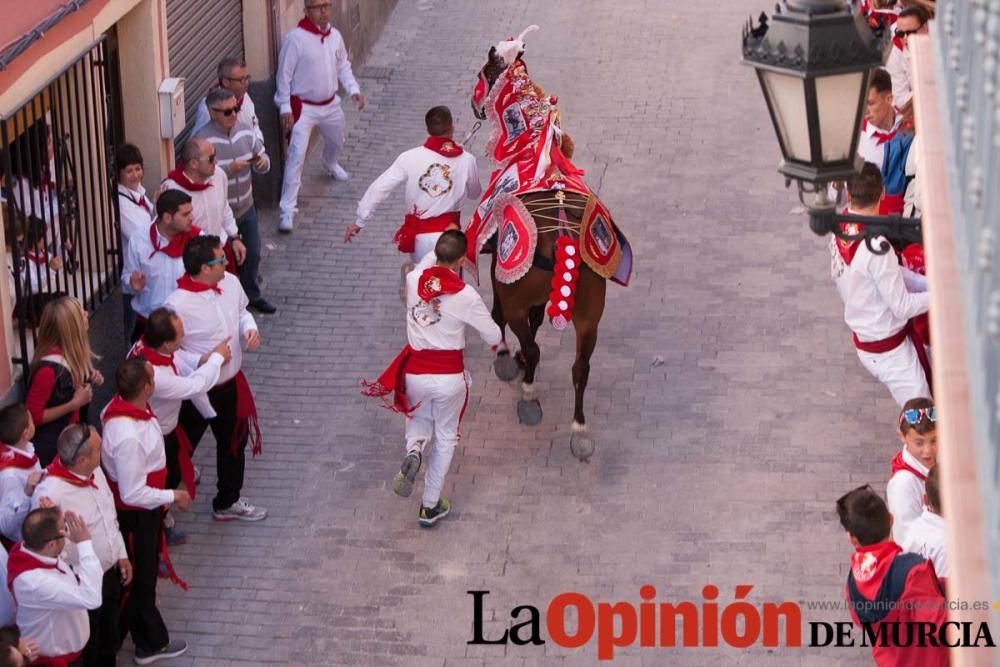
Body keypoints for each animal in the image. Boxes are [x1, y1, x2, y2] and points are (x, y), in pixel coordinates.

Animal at [462, 24, 632, 460]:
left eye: (485, 72)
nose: (474, 106)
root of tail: (562, 237)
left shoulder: (504, 281)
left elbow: (500, 319)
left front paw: (512, 360)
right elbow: (539, 326)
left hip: (524, 298)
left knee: (528, 338)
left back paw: (527, 392)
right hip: (589, 314)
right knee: (581, 367)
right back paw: (579, 429)